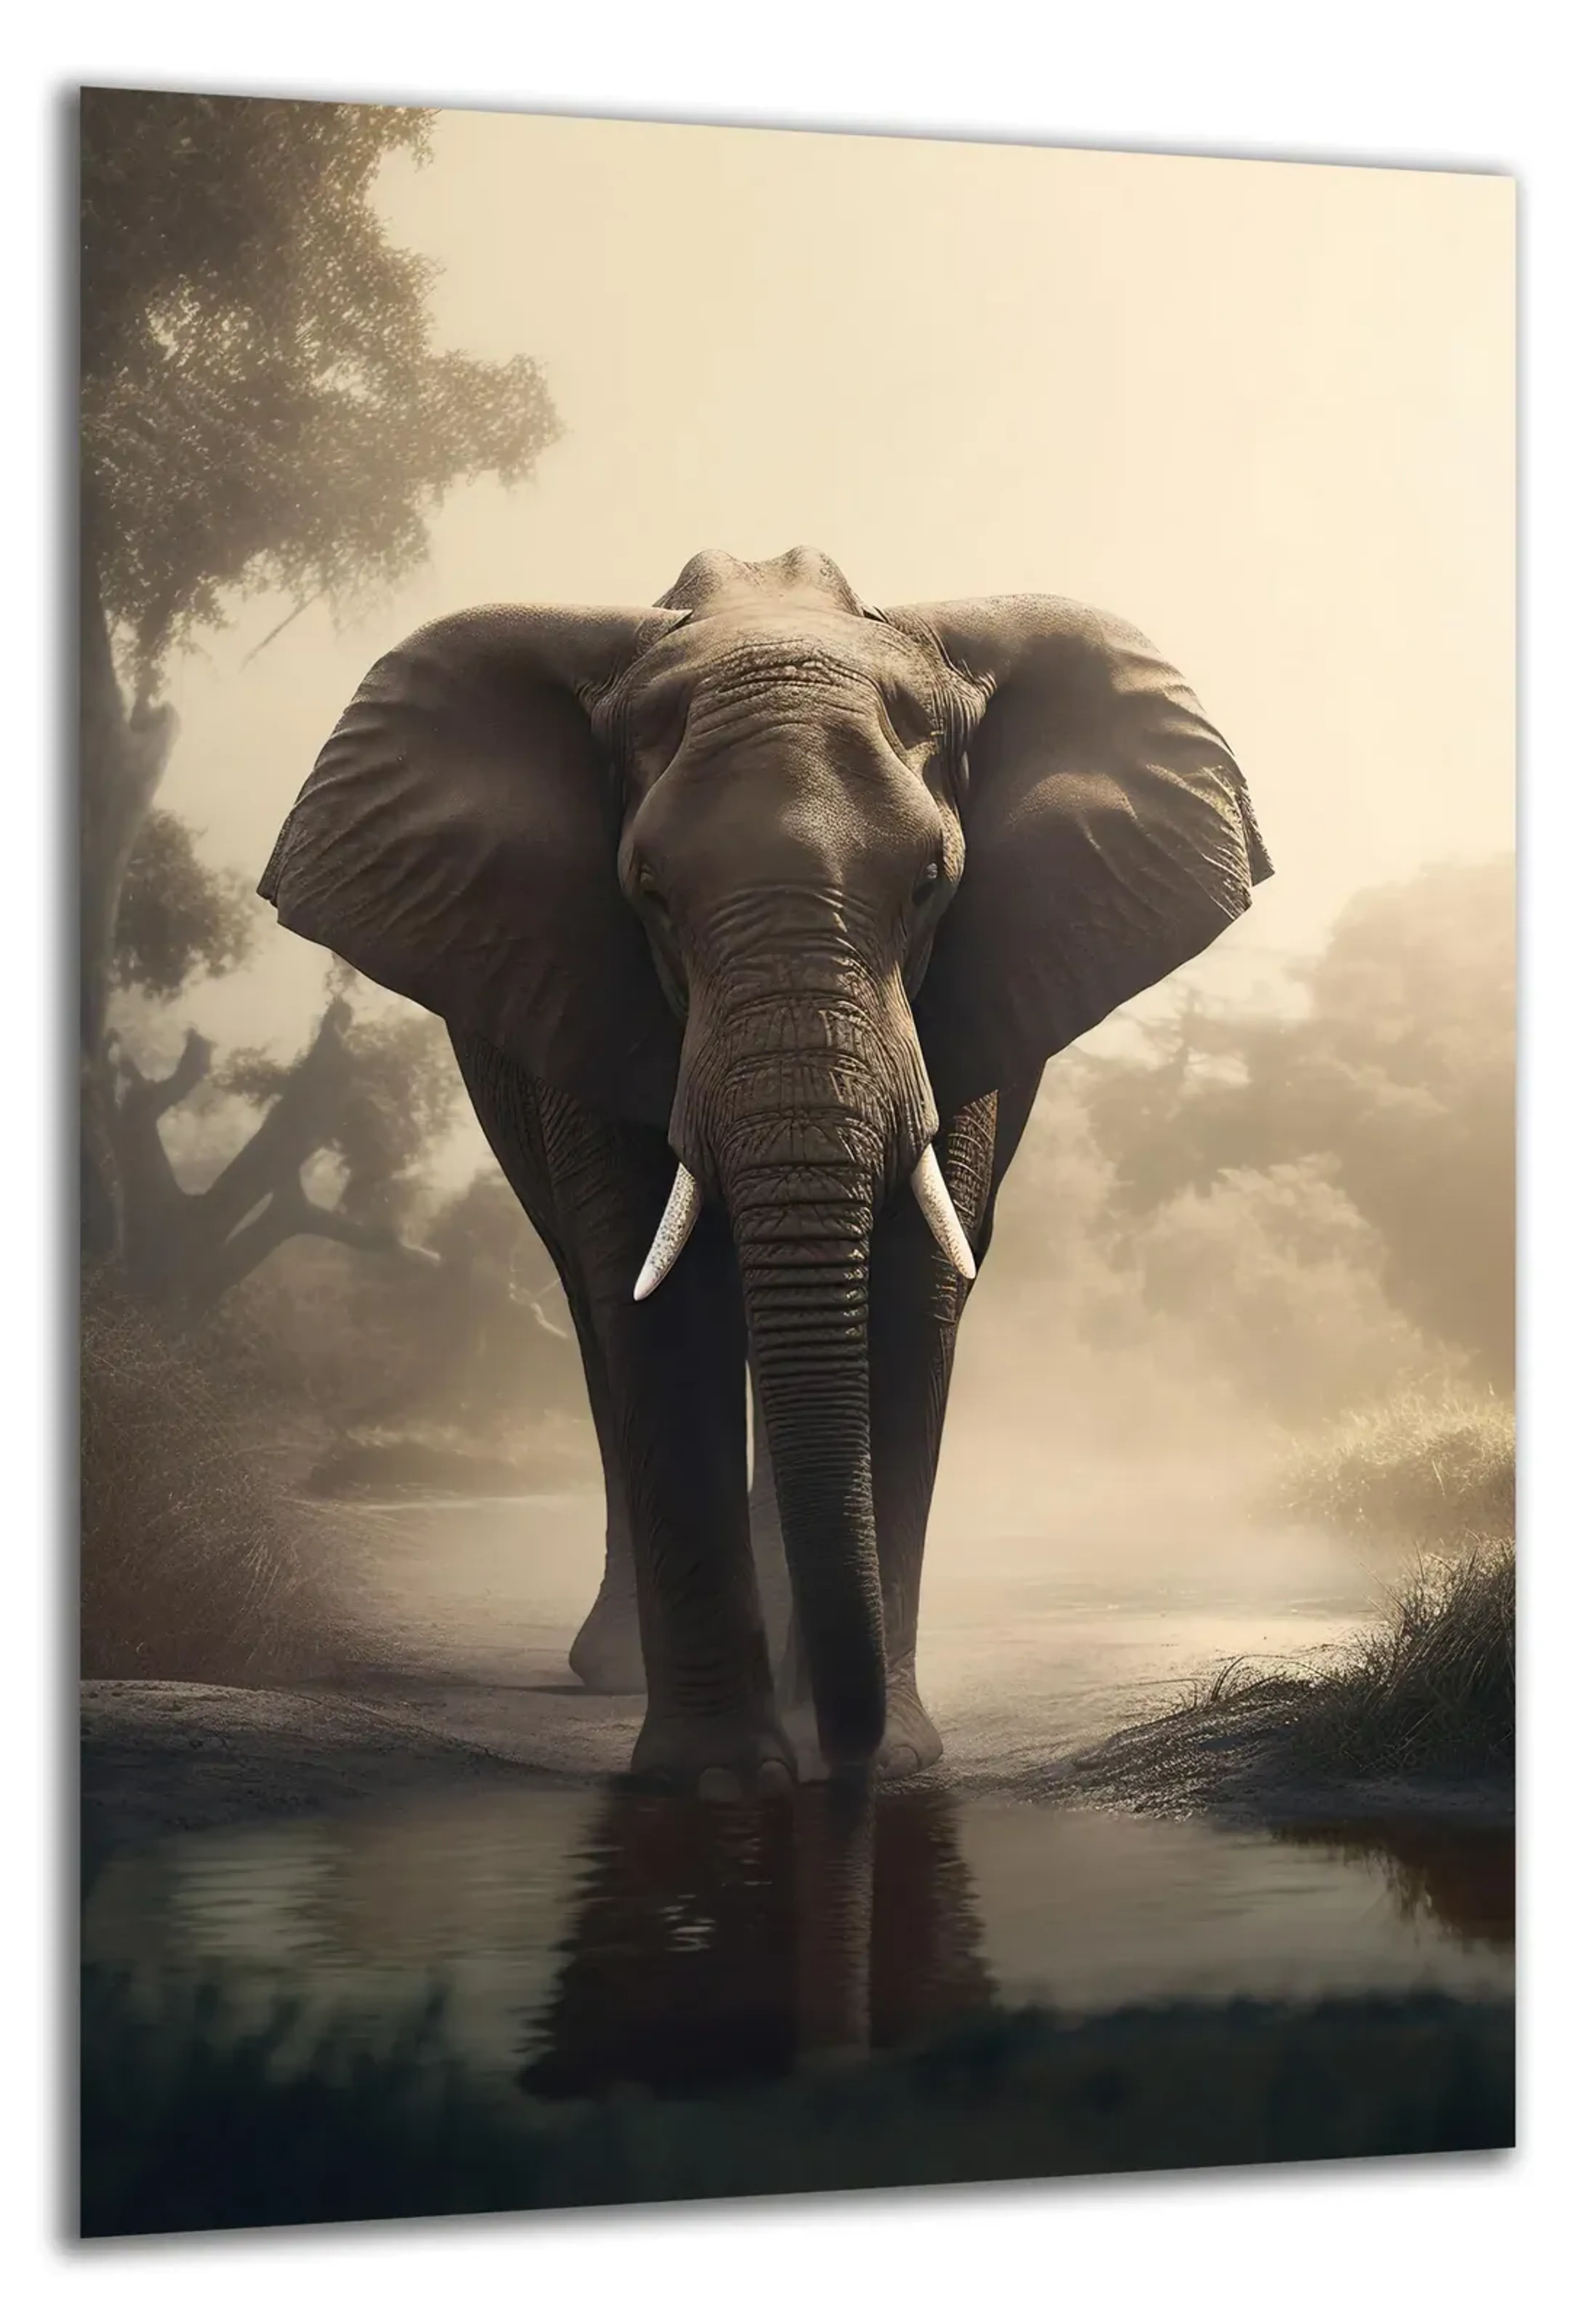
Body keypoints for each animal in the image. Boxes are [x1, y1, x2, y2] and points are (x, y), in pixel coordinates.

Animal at [258, 546, 1271, 1798]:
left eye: (931, 885)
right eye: (649, 893)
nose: (841, 1753)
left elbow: (909, 1294)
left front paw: (889, 1760)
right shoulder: (583, 982)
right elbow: (662, 1310)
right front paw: (726, 1778)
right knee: (596, 1316)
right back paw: (618, 1672)